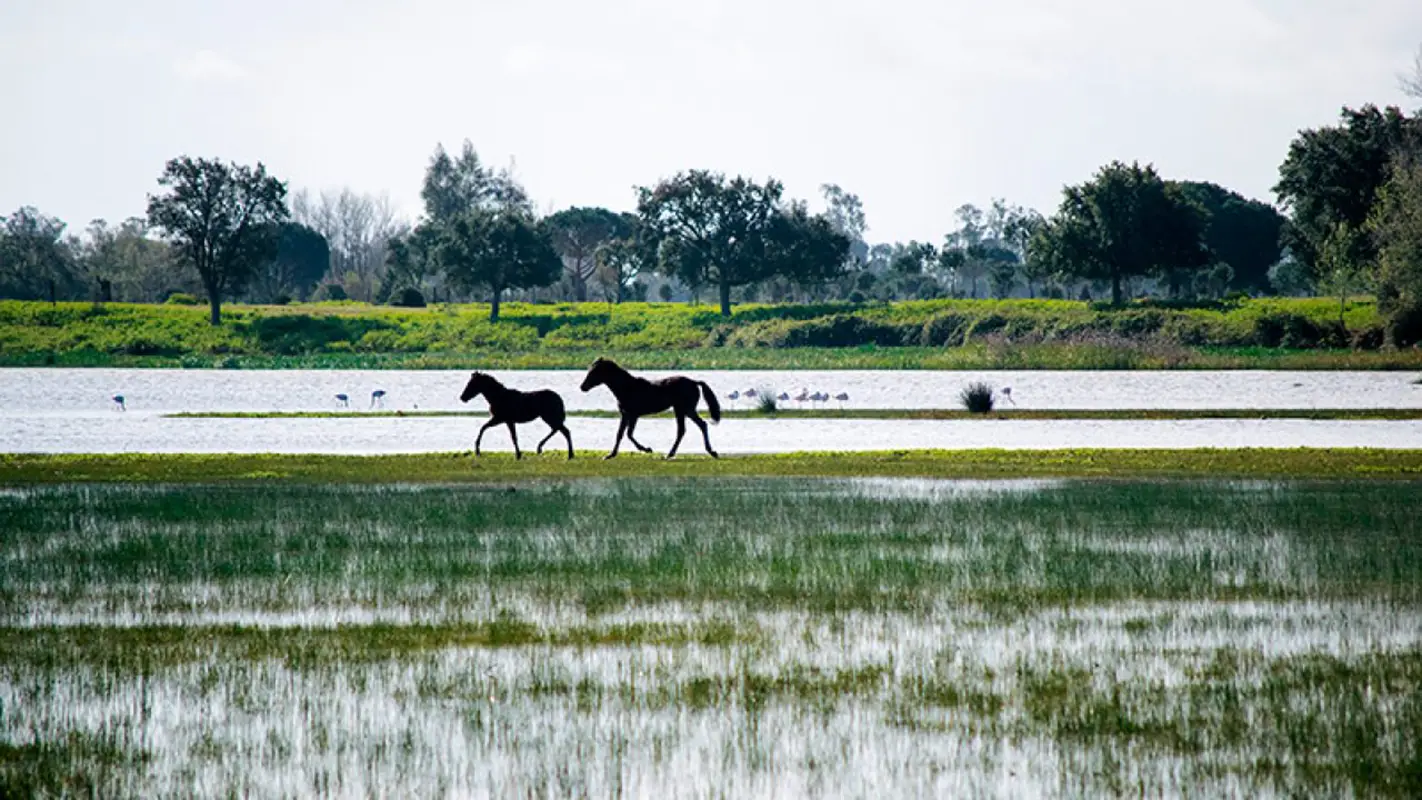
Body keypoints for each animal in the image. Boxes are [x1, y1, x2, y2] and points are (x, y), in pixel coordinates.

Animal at [574, 358, 716, 460]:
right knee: (692, 427)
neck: (627, 388)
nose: (582, 387)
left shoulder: (633, 415)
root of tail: (694, 382)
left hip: (685, 409)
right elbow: (620, 434)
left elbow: (629, 434)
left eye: (594, 372)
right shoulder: (624, 414)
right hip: (682, 410)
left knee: (693, 427)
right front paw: (610, 455)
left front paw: (647, 449)